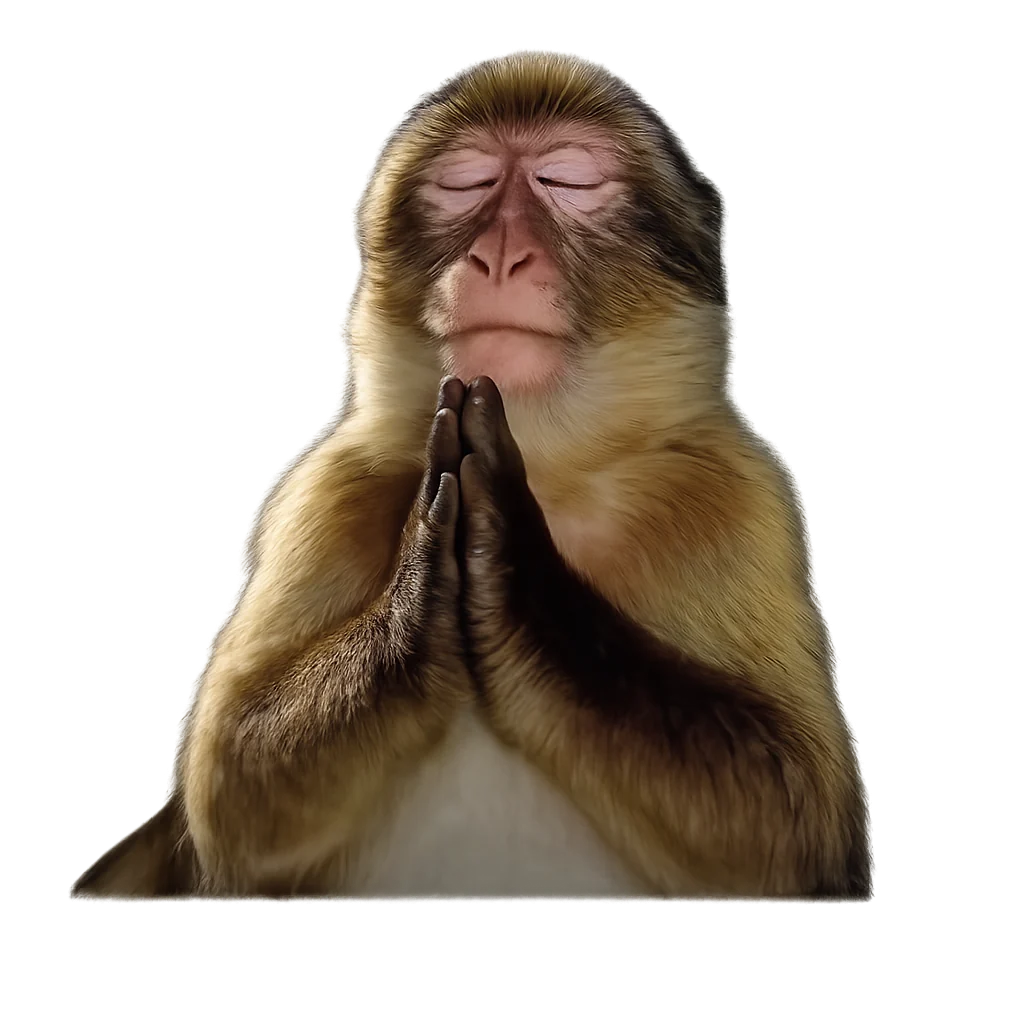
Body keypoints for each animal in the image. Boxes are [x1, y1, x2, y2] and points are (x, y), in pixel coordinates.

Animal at [70, 49, 873, 902]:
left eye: (567, 180)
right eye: (466, 184)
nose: (500, 255)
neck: (552, 469)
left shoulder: (735, 495)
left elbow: (795, 818)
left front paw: (511, 562)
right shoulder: (325, 491)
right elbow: (232, 793)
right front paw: (427, 589)